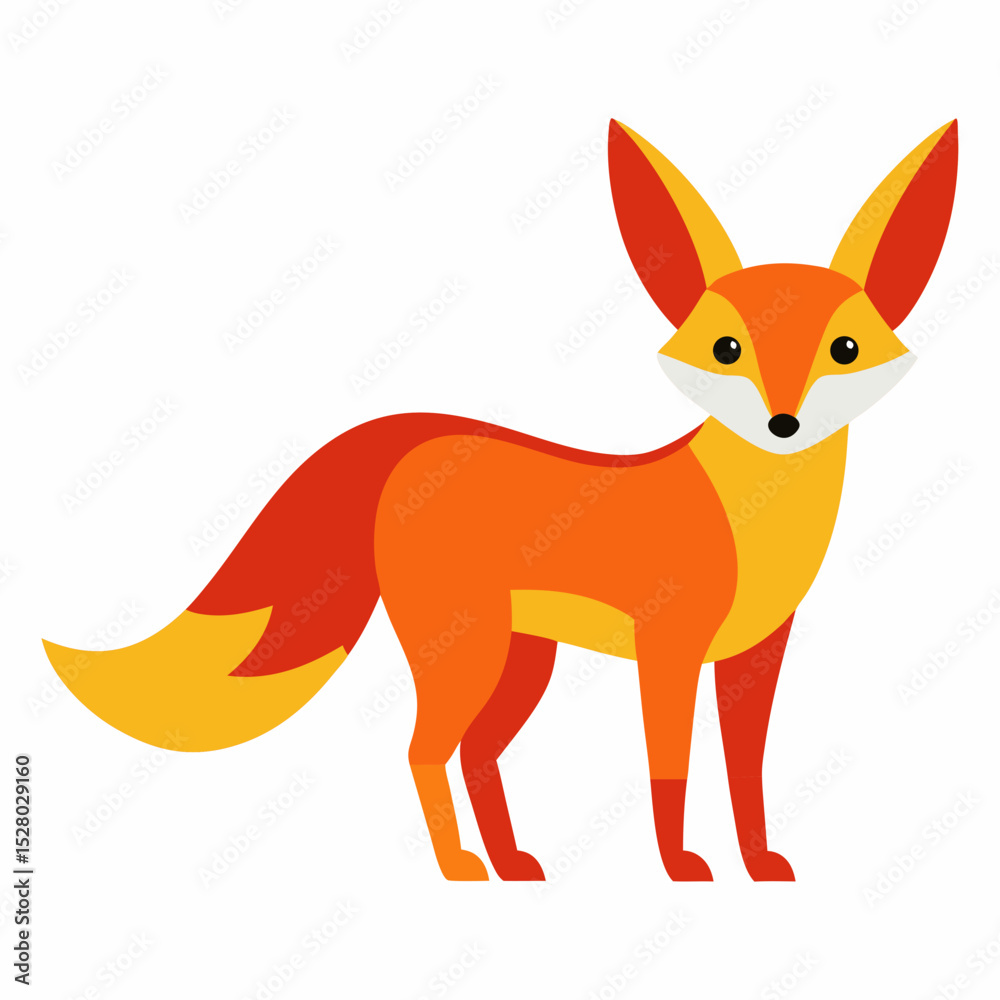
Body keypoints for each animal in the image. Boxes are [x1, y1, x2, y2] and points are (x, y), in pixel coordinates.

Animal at [44, 118, 959, 882]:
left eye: (844, 350)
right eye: (727, 349)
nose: (783, 423)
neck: (754, 509)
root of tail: (418, 442)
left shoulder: (754, 655)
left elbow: (746, 771)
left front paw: (759, 863)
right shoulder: (666, 650)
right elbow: (669, 768)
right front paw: (679, 866)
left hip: (521, 663)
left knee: (477, 754)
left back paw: (512, 860)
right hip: (469, 656)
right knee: (424, 750)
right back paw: (459, 868)